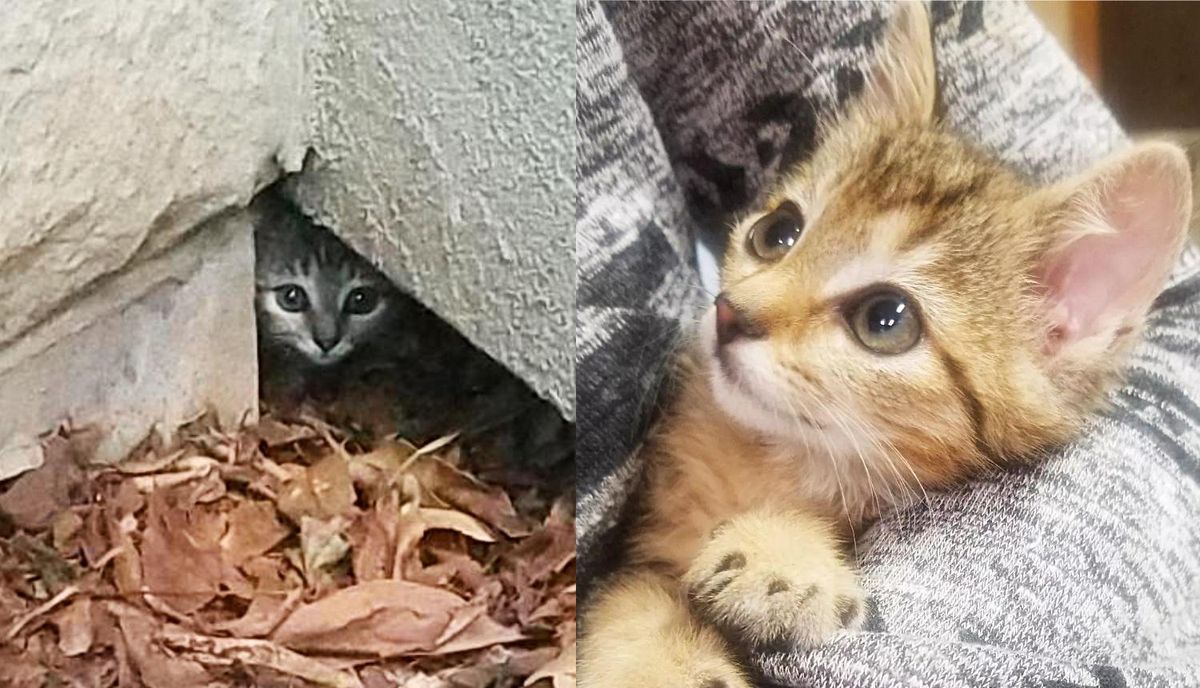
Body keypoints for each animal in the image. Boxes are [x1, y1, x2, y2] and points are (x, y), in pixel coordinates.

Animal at [578, 2, 1190, 681]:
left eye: (885, 320)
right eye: (777, 231)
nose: (730, 312)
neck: (772, 462)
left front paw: (783, 554)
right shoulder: (638, 554)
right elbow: (634, 601)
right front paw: (661, 662)